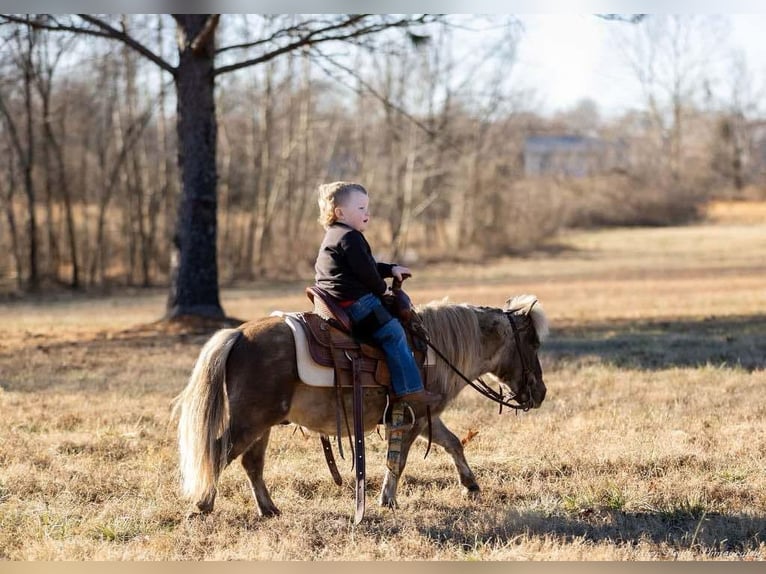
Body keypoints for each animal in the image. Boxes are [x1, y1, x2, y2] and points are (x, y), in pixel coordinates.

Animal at [174, 294, 548, 520]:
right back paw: (202, 505)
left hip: (262, 424)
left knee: (251, 464)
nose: (540, 393)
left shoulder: (426, 416)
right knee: (220, 452)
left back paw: (269, 509)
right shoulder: (412, 416)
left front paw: (471, 486)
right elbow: (399, 460)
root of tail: (237, 334)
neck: (433, 349)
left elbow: (453, 442)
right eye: (532, 342)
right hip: (249, 420)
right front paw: (387, 500)